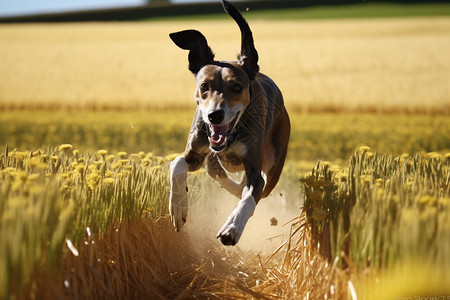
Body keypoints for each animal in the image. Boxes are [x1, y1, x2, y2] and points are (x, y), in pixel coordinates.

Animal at [167, 0, 290, 245]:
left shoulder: (254, 166)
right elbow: (176, 164)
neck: (231, 137)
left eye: (236, 87)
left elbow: (250, 197)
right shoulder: (196, 151)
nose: (215, 115)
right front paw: (178, 208)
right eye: (204, 86)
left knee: (256, 188)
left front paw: (232, 227)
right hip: (212, 160)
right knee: (218, 172)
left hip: (275, 159)